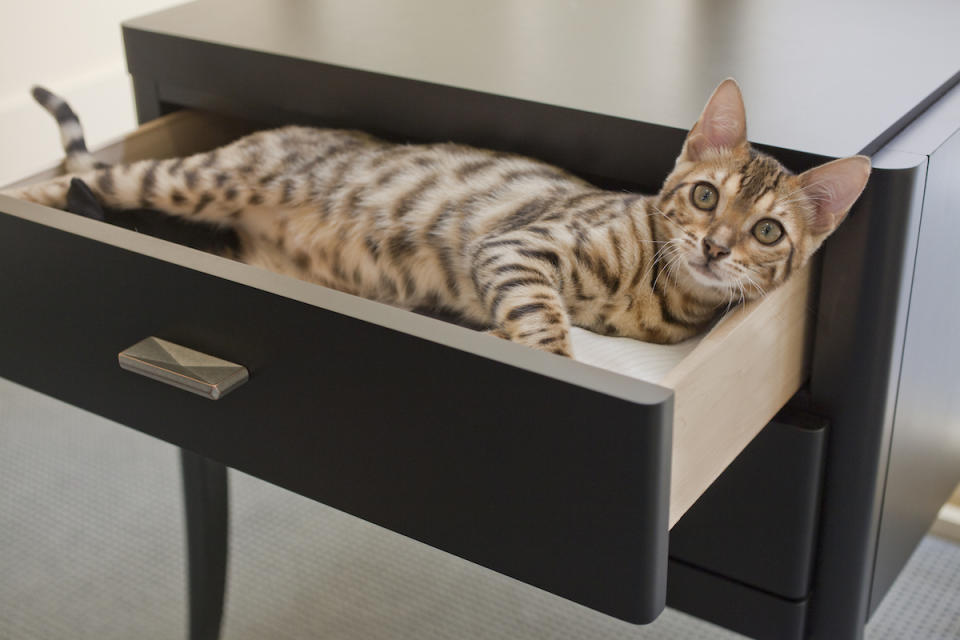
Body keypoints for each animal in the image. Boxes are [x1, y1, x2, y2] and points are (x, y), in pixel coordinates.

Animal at [1, 79, 872, 356]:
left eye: (768, 231)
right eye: (705, 195)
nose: (716, 245)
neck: (658, 294)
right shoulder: (521, 245)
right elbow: (546, 327)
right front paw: (541, 350)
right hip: (196, 176)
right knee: (84, 177)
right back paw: (33, 197)